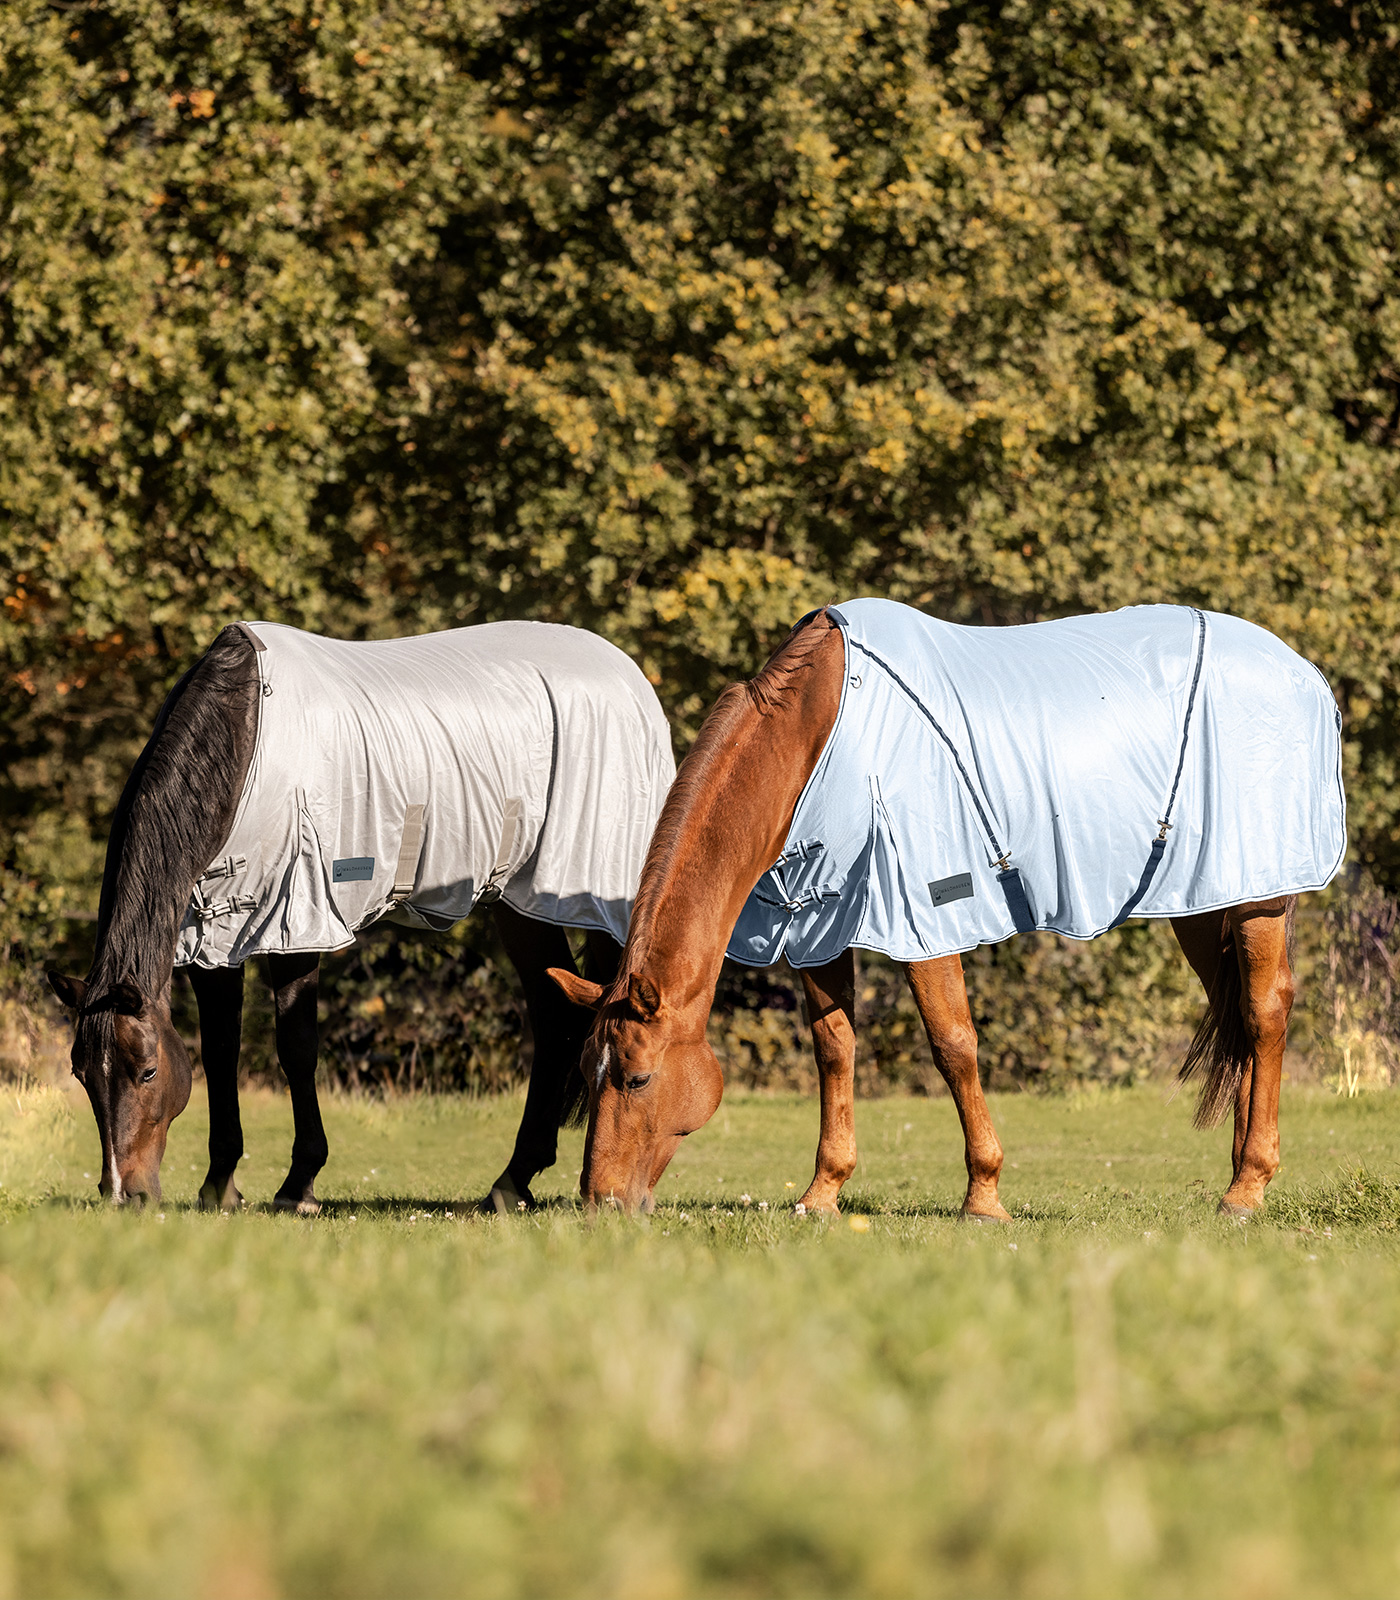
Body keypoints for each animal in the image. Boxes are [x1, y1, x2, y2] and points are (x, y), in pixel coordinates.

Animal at [46, 617, 675, 1203]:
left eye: (147, 1071)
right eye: (81, 1071)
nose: (123, 1193)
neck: (246, 741)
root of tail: (629, 676)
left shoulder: (296, 923)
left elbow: (296, 1049)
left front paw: (298, 1185)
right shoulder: (215, 934)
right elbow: (220, 1051)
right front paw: (220, 1186)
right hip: (520, 902)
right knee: (555, 1016)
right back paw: (512, 1183)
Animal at [550, 598, 1344, 1209]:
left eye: (637, 1077)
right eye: (585, 1072)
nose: (600, 1203)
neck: (824, 732)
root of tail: (1302, 672)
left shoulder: (924, 917)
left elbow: (953, 1046)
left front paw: (983, 1196)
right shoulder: (817, 922)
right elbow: (834, 1048)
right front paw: (823, 1193)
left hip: (1260, 896)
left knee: (1266, 1012)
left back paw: (1247, 1188)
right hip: (1205, 901)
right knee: (1236, 1012)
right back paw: (1239, 1176)